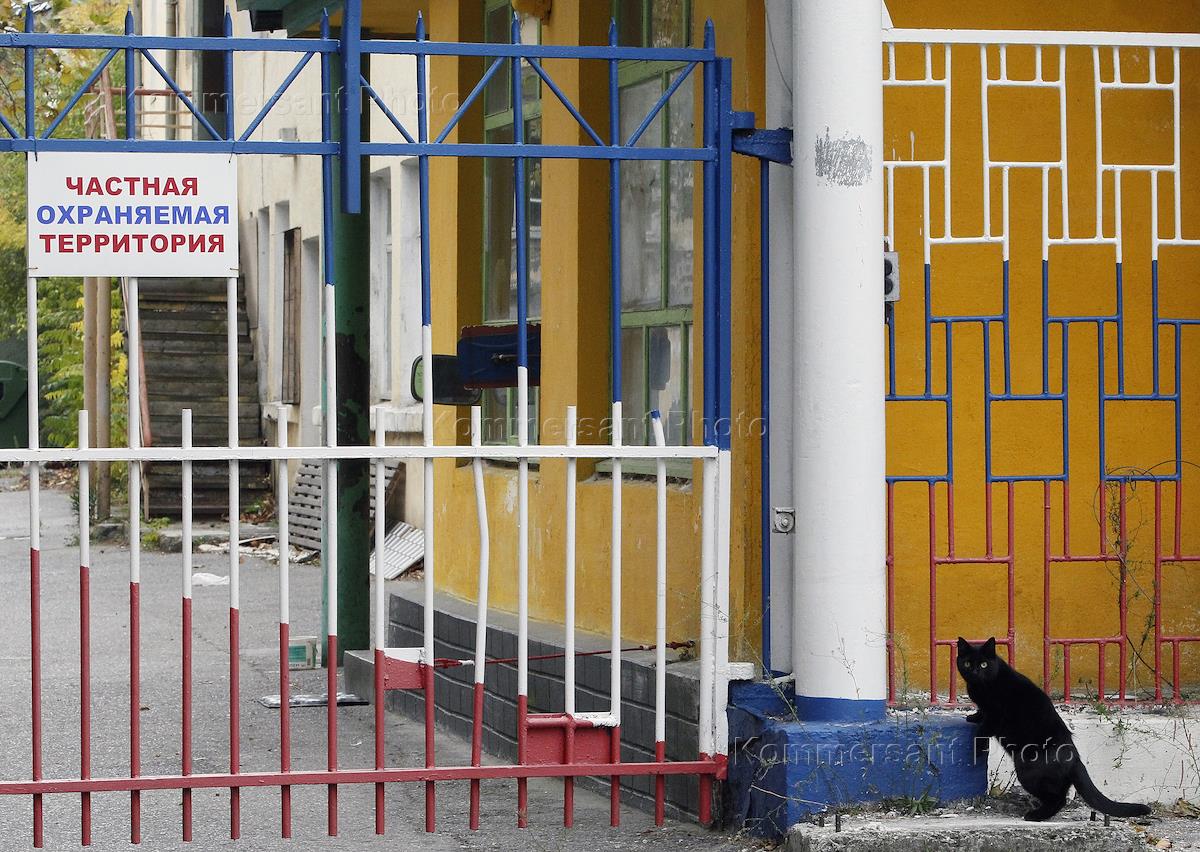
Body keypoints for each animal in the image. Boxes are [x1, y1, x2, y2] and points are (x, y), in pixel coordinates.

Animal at [956, 636, 1153, 822]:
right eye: (967, 663)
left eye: (983, 664)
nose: (975, 671)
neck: (981, 685)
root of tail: (1075, 758)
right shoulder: (986, 709)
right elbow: (981, 714)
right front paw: (973, 717)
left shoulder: (996, 714)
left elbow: (983, 731)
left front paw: (977, 748)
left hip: (1028, 771)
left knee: (1058, 799)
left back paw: (1035, 815)